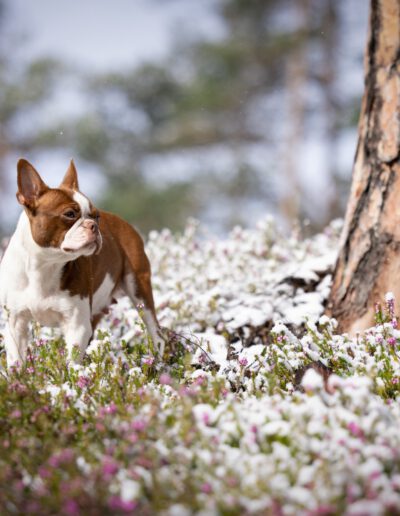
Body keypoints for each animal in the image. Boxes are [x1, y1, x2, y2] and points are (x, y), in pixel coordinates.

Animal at [0, 159, 164, 364]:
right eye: (70, 214)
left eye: (97, 216)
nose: (94, 225)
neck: (45, 265)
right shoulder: (15, 323)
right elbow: (17, 361)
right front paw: (19, 374)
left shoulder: (77, 325)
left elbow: (72, 363)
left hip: (139, 289)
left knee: (155, 331)